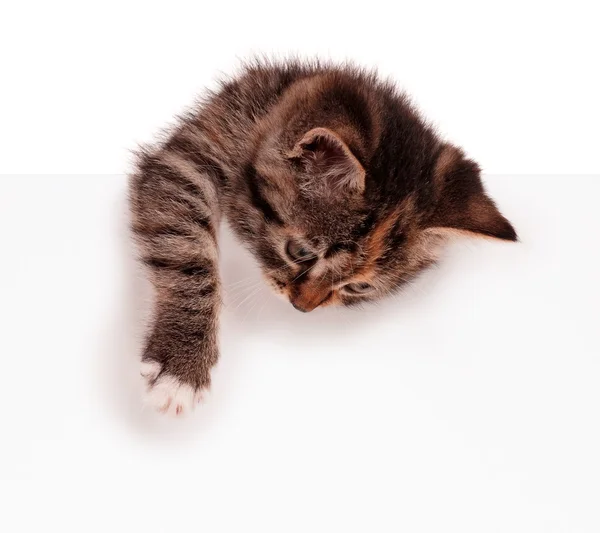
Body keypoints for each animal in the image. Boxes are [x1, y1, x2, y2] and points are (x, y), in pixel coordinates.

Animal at [130, 59, 516, 416]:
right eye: (300, 251)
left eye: (358, 287)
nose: (302, 307)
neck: (271, 106)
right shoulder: (189, 161)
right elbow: (187, 254)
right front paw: (182, 368)